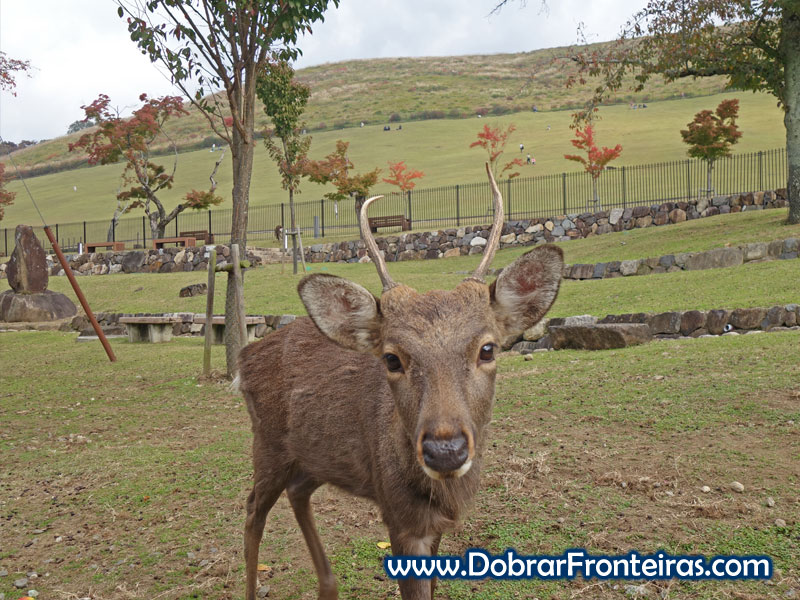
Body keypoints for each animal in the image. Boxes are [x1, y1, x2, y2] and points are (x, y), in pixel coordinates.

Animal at [237, 164, 564, 600]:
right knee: (252, 511)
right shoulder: (399, 517)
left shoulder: (436, 524)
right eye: (392, 358)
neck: (441, 494)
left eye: (488, 349)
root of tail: (243, 359)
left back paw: (329, 586)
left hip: (311, 456)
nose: (445, 451)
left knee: (297, 491)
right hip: (267, 444)